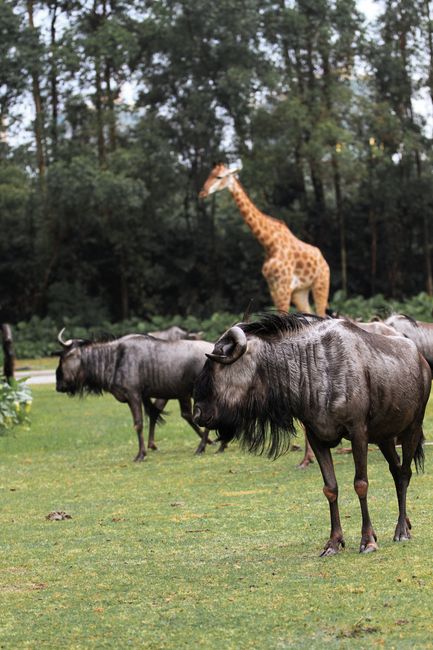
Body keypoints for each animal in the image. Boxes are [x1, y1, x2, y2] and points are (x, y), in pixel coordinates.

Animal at [199, 162, 331, 468]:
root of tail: (323, 258)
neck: (269, 244)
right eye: (210, 175)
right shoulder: (275, 288)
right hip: (302, 292)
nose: (202, 193)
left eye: (220, 177)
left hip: (320, 285)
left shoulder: (282, 287)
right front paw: (306, 454)